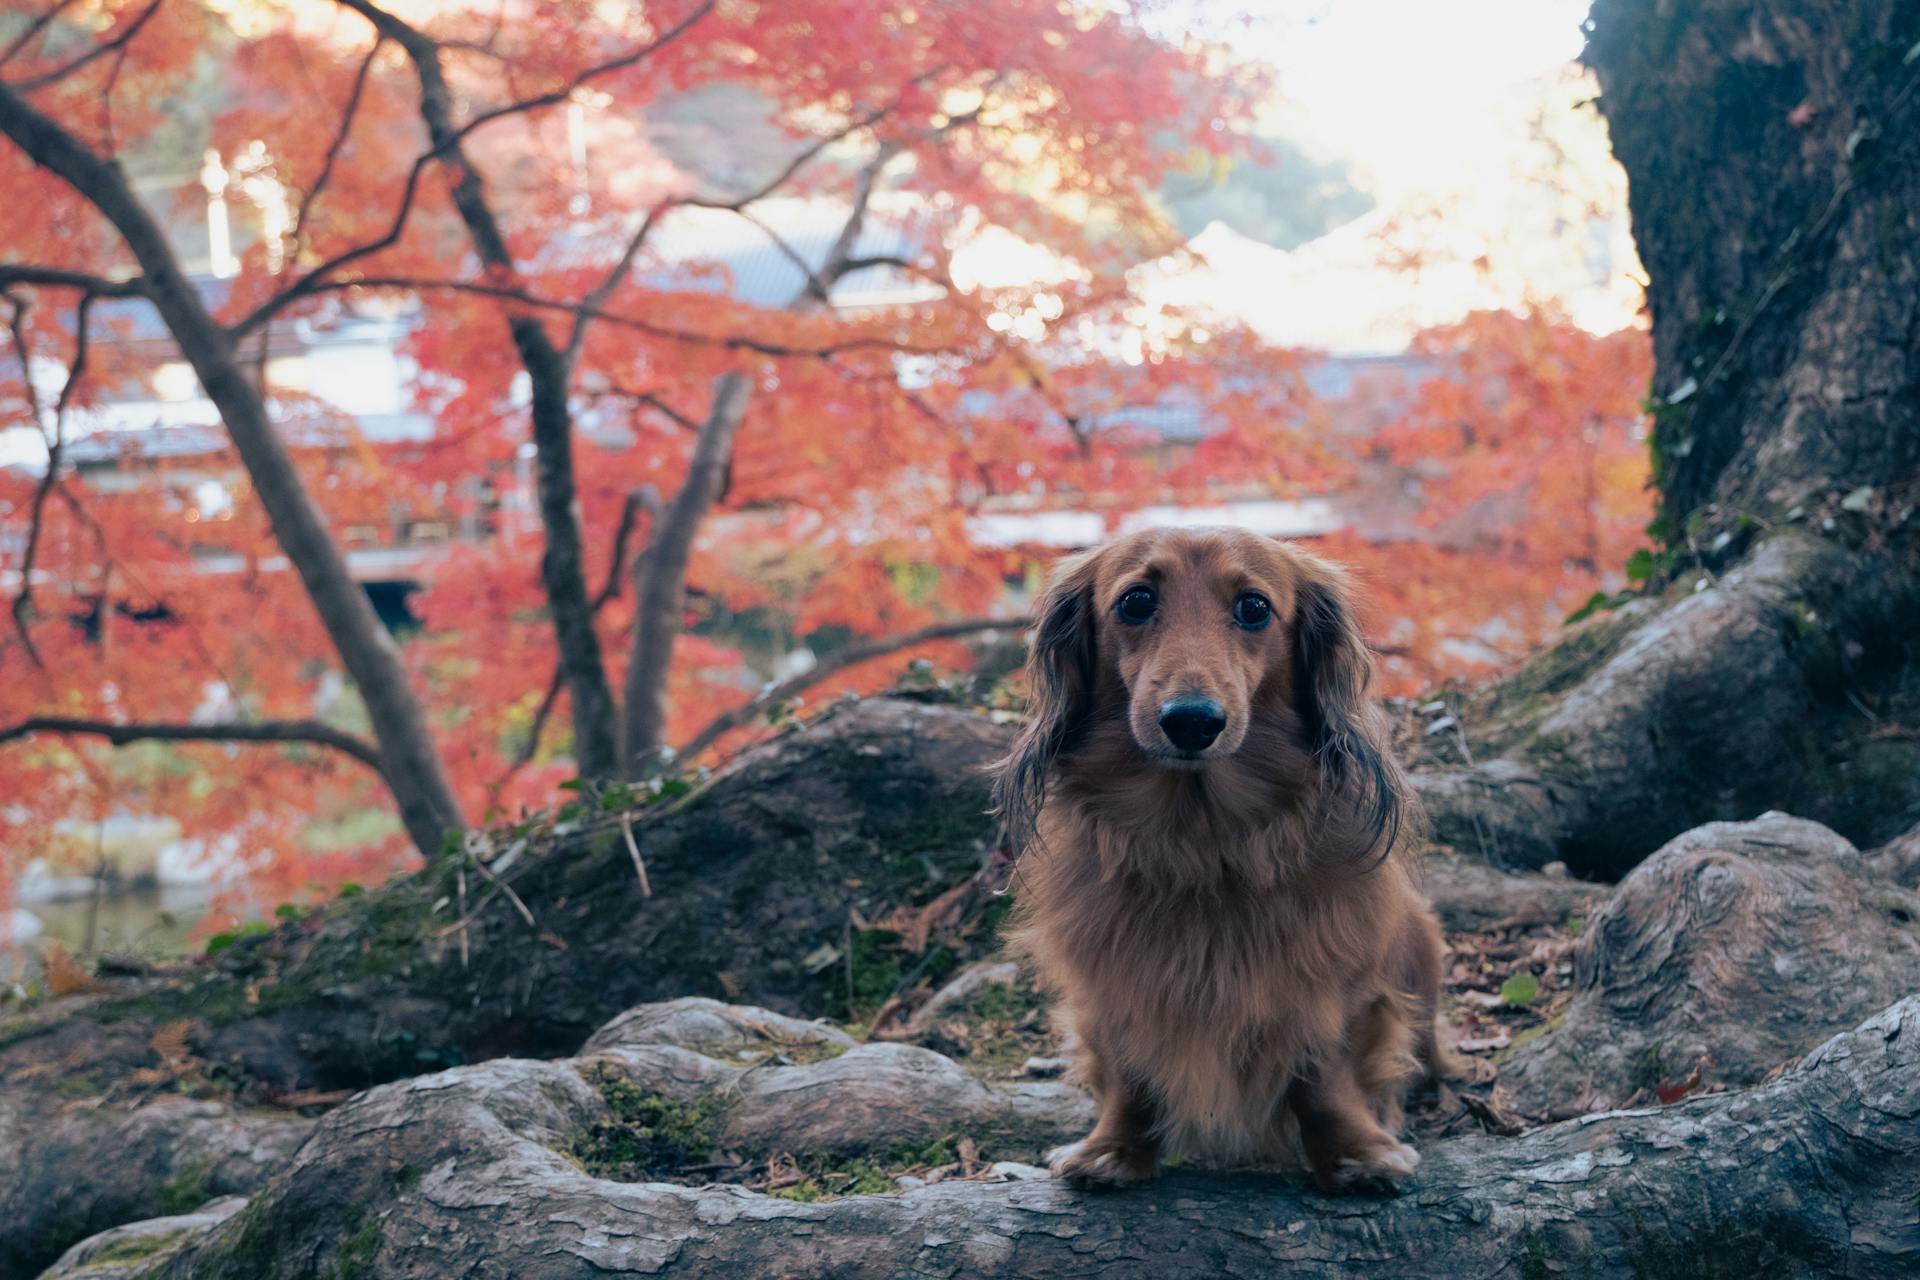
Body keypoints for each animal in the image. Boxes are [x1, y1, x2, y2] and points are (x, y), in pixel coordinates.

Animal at [998, 525, 1443, 1197]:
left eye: (1254, 607)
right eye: (1135, 601)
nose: (1191, 722)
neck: (1204, 846)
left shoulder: (1332, 980)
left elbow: (1325, 1075)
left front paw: (1356, 1153)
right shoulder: (1112, 984)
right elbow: (1129, 1073)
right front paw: (1114, 1149)